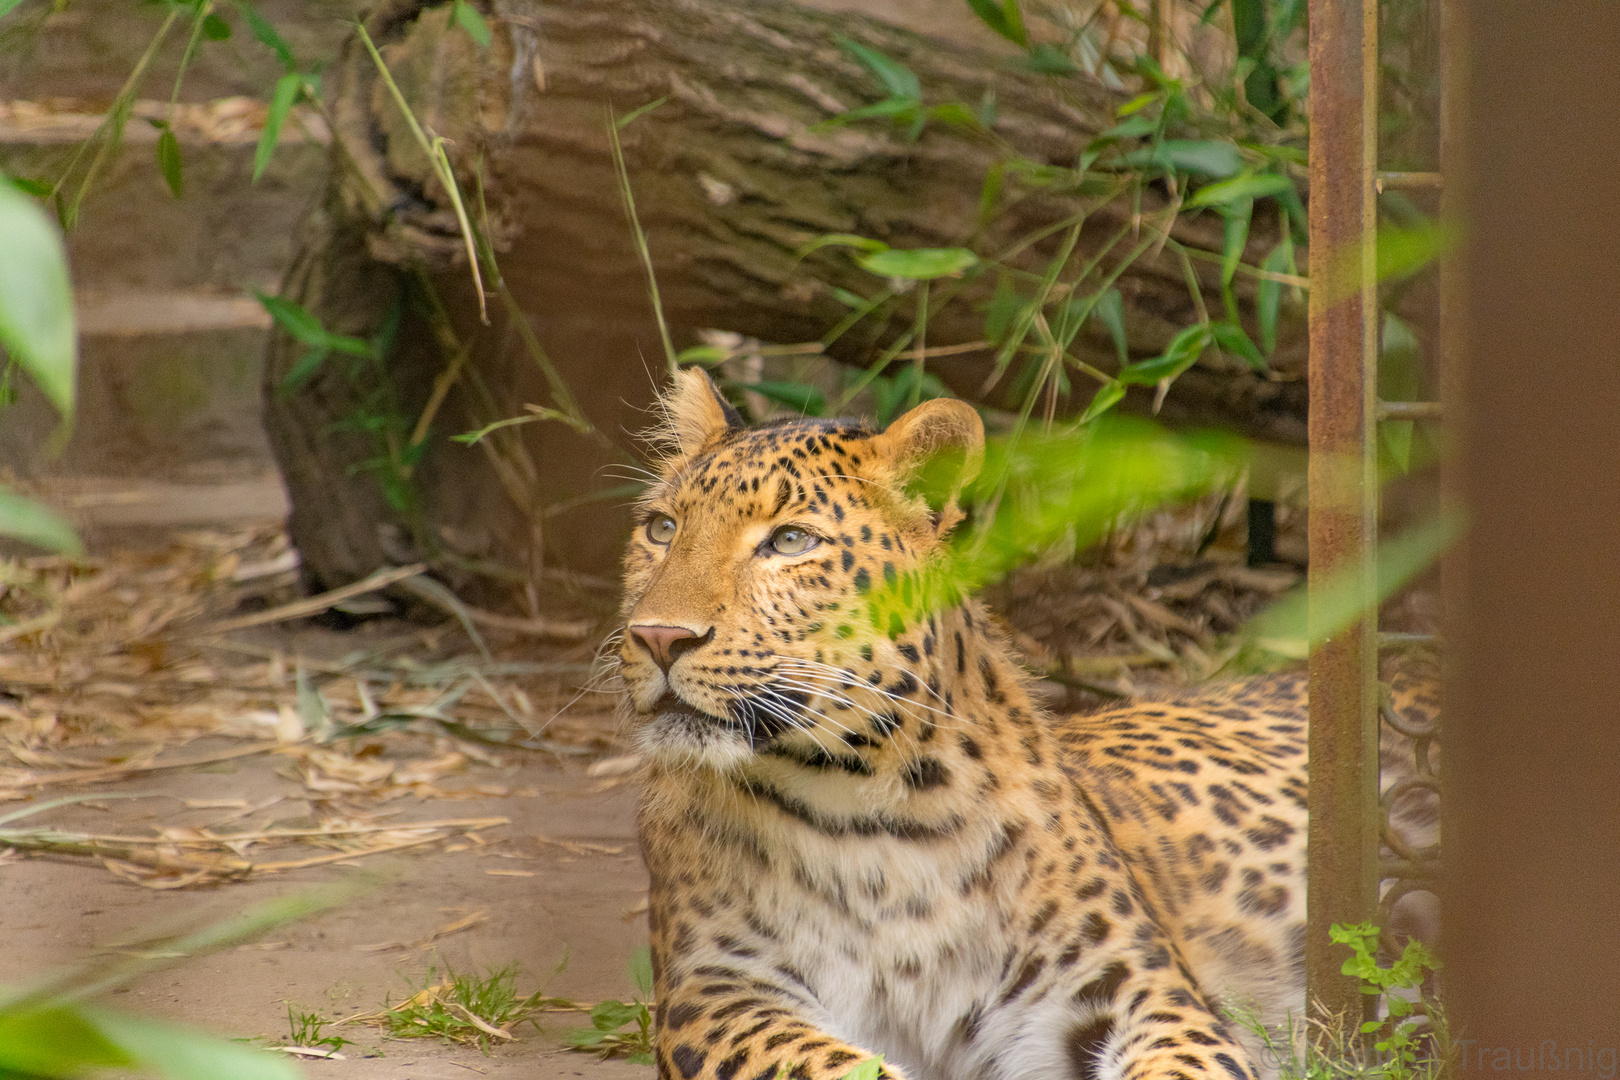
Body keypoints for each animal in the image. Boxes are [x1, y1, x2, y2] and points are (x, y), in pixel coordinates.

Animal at [612, 367, 1399, 1075]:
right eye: (661, 528)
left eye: (790, 542)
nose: (658, 637)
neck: (868, 805)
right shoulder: (718, 992)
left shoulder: (1135, 990)